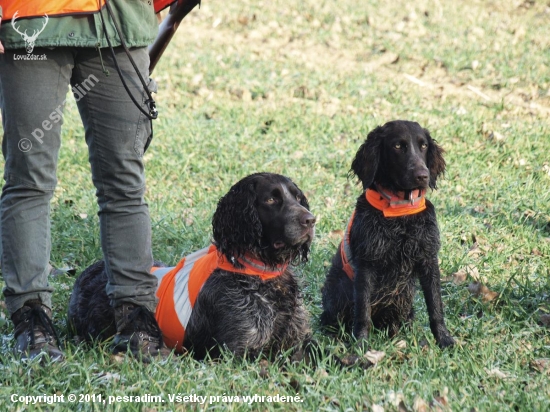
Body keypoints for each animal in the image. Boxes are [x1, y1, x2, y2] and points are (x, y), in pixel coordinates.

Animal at [68, 172, 320, 358]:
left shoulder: (299, 339)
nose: (310, 220)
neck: (264, 276)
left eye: (298, 199)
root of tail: (89, 271)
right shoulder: (236, 351)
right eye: (271, 199)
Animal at [322, 120, 454, 350]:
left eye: (423, 145)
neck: (399, 211)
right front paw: (361, 345)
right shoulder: (367, 263)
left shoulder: (428, 258)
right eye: (398, 146)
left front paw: (443, 339)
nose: (423, 176)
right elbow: (362, 311)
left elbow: (435, 305)